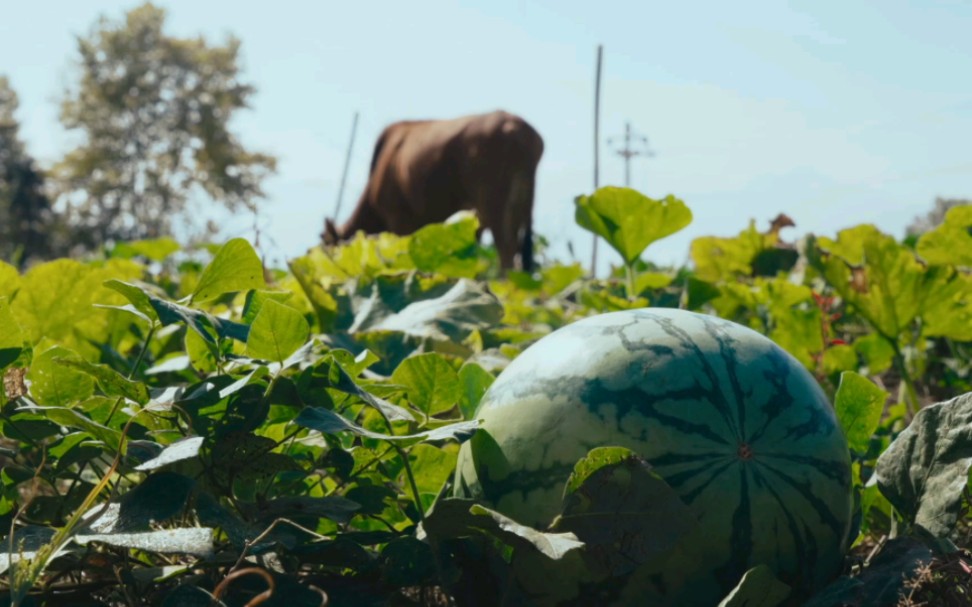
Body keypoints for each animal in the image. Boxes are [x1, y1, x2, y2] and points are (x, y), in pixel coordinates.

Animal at [322, 109, 544, 270]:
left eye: (330, 251)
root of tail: (521, 131)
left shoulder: (399, 219)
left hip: (494, 204)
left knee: (506, 250)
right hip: (522, 205)